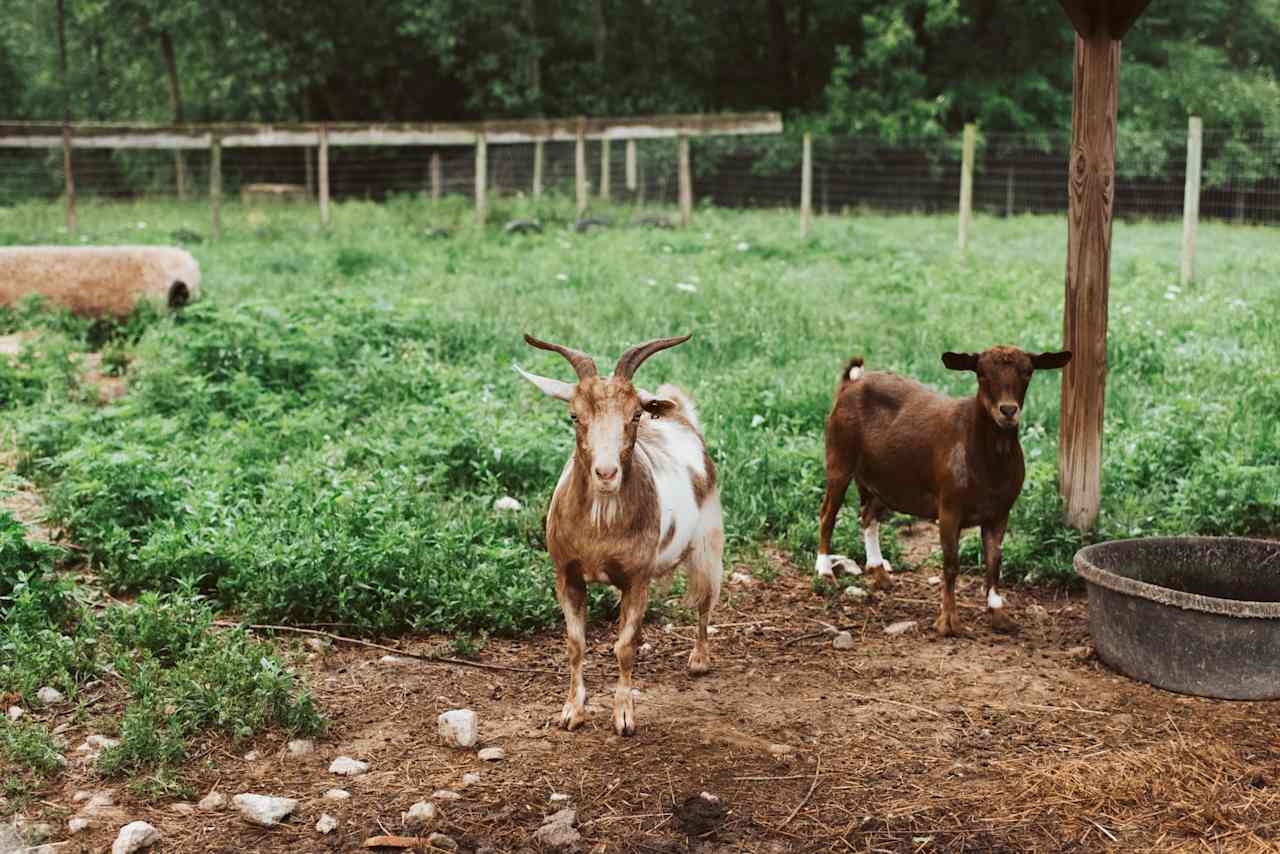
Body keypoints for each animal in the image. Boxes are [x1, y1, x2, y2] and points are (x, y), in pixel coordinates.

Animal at [517, 332, 721, 737]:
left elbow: (624, 648)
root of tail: (681, 418)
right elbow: (575, 644)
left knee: (706, 599)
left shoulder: (637, 579)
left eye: (635, 415)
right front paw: (572, 711)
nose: (606, 473)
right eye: (574, 415)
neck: (599, 529)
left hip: (708, 542)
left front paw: (624, 716)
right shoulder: (566, 575)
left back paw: (699, 659)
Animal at [819, 345, 1070, 635]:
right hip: (839, 456)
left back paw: (880, 574)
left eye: (1028, 372)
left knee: (868, 515)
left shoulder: (999, 512)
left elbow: (994, 562)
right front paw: (948, 622)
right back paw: (824, 573)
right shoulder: (949, 508)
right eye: (981, 373)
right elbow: (951, 564)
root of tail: (852, 382)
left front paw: (999, 615)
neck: (987, 461)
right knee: (827, 514)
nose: (1008, 410)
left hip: (884, 478)